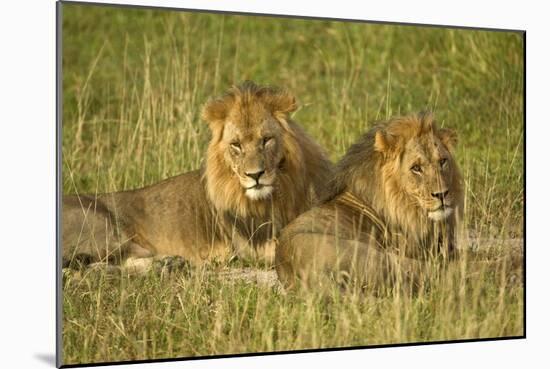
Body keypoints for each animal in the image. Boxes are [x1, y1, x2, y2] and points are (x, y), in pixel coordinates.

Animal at [62, 80, 334, 270]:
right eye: (236, 145)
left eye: (266, 140)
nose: (255, 175)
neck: (281, 190)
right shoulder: (251, 246)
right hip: (103, 228)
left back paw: (169, 264)